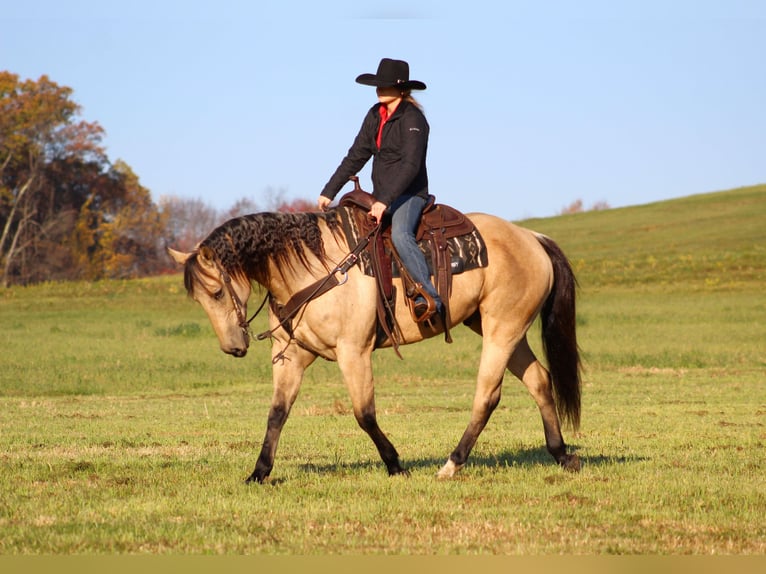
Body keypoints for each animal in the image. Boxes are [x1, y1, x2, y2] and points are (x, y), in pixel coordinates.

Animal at [171, 198, 584, 482]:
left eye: (217, 292)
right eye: (201, 299)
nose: (233, 347)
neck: (317, 269)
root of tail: (532, 238)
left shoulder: (353, 351)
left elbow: (364, 413)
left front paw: (395, 464)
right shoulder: (292, 357)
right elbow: (277, 413)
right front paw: (259, 472)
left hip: (502, 329)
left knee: (488, 395)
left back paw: (451, 464)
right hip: (498, 329)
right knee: (539, 380)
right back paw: (562, 454)